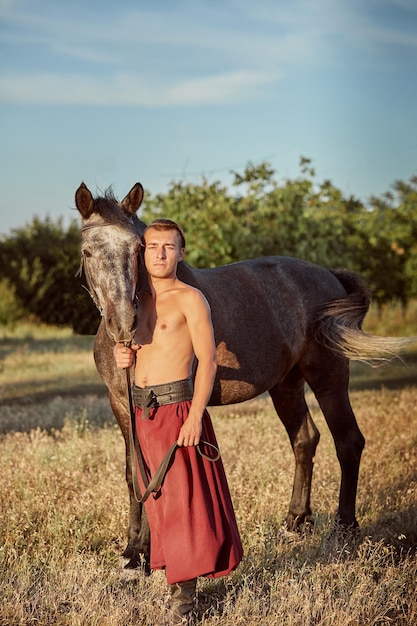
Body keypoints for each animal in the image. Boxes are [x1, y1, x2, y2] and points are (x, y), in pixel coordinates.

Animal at [75, 182, 412, 572]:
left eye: (137, 247)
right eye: (87, 251)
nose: (123, 324)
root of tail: (330, 276)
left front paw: (144, 553)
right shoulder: (121, 403)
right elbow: (136, 474)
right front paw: (134, 551)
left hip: (328, 377)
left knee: (348, 442)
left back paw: (344, 530)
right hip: (286, 386)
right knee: (305, 439)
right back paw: (296, 521)